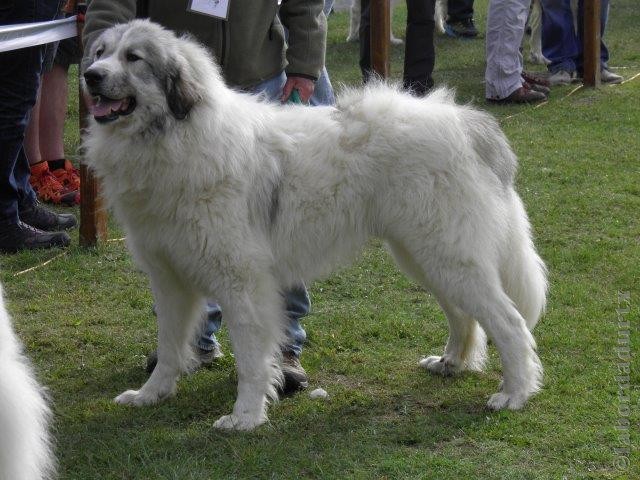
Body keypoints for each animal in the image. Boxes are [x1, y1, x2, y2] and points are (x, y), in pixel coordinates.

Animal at [82, 19, 548, 432]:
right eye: (100, 52)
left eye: (134, 57)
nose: (90, 76)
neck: (174, 138)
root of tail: (468, 122)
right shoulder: (169, 279)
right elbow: (168, 349)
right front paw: (151, 395)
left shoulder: (242, 283)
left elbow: (251, 359)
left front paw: (245, 417)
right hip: (426, 257)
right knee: (464, 316)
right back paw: (452, 363)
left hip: (447, 254)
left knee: (509, 323)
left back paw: (515, 393)